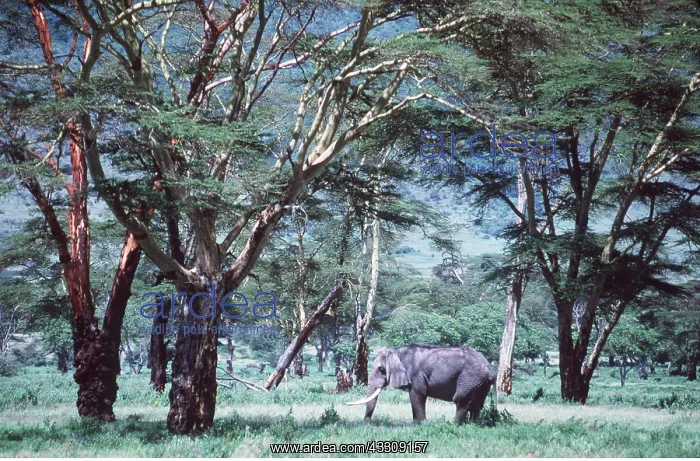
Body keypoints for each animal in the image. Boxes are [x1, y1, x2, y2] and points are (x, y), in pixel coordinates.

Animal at [346, 344, 497, 423]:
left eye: (381, 370)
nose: (366, 423)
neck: (397, 352)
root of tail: (490, 369)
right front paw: (416, 423)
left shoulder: (415, 374)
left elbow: (417, 395)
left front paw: (422, 424)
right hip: (480, 383)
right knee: (477, 404)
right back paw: (472, 424)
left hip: (470, 378)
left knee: (461, 400)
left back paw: (454, 424)